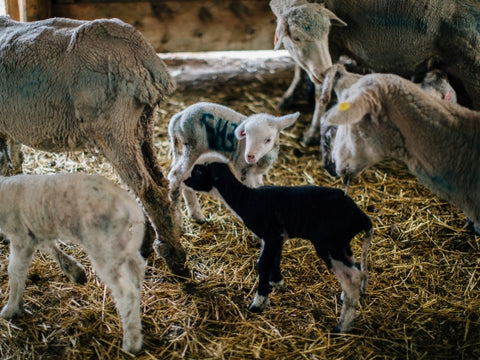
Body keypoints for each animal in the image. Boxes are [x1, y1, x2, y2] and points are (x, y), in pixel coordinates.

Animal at [0, 172, 146, 354]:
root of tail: (125, 200)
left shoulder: (21, 236)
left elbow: (14, 271)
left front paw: (11, 309)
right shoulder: (36, 232)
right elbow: (48, 245)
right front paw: (74, 270)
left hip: (101, 243)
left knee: (126, 292)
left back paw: (131, 344)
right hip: (118, 239)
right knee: (136, 269)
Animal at [167, 102, 298, 228]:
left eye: (268, 139)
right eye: (246, 134)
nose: (249, 156)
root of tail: (179, 116)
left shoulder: (257, 174)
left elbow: (259, 187)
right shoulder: (242, 167)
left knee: (183, 177)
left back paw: (196, 215)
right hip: (193, 146)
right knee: (176, 175)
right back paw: (177, 221)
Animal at [184, 156, 376, 334]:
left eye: (198, 172)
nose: (184, 181)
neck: (245, 200)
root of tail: (360, 216)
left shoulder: (271, 234)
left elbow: (262, 263)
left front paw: (258, 303)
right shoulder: (277, 237)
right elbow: (274, 259)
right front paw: (277, 282)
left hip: (329, 243)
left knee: (351, 276)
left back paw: (341, 327)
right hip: (342, 243)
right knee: (357, 267)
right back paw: (346, 299)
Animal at [272, 0, 480, 109]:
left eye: (327, 31)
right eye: (297, 38)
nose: (321, 72)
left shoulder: (333, 43)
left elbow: (319, 86)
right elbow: (299, 68)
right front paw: (287, 98)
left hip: (472, 65)